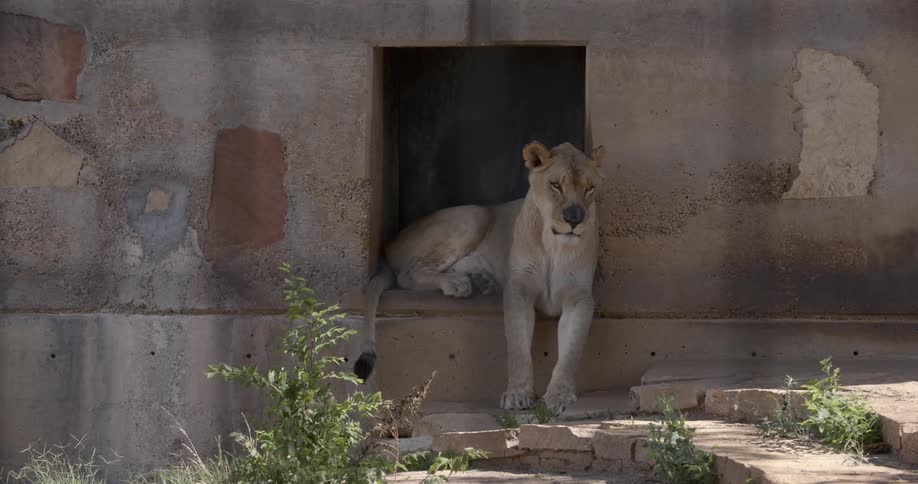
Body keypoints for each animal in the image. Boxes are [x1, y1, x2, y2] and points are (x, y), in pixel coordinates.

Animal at [354, 141, 604, 413]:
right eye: (556, 185)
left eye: (590, 188)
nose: (574, 219)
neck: (554, 245)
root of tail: (388, 246)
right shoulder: (519, 289)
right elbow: (517, 348)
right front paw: (517, 394)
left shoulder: (579, 297)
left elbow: (571, 351)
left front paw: (560, 395)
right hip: (474, 215)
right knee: (407, 274)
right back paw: (458, 284)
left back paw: (482, 280)